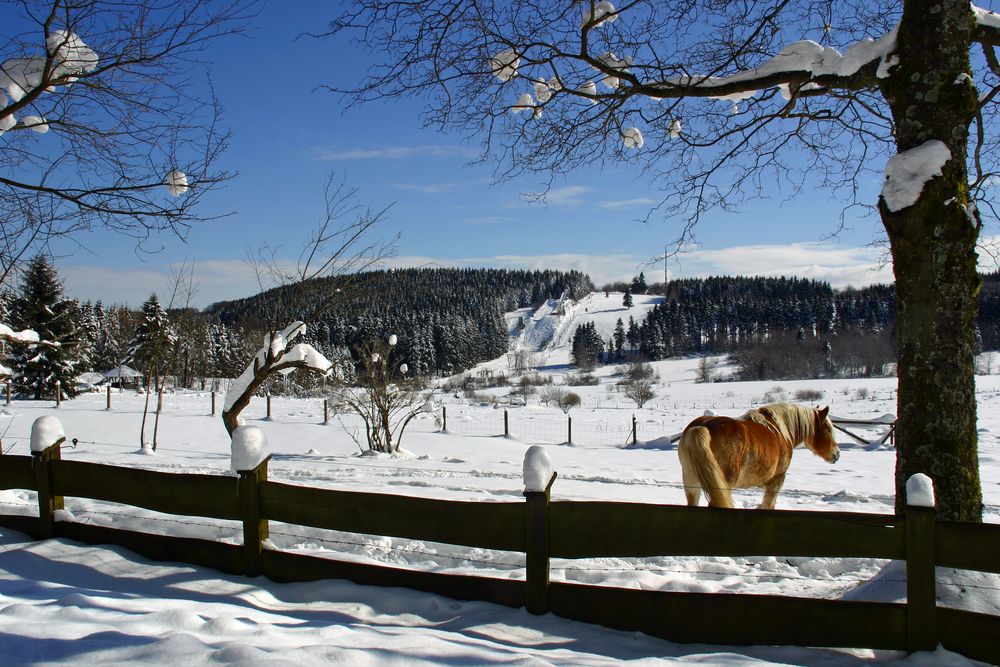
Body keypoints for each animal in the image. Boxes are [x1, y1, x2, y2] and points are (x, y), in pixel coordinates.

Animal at [680, 402, 836, 512]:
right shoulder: (776, 481)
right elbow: (768, 505)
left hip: (692, 484)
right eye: (828, 429)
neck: (780, 431)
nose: (836, 454)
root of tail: (701, 427)